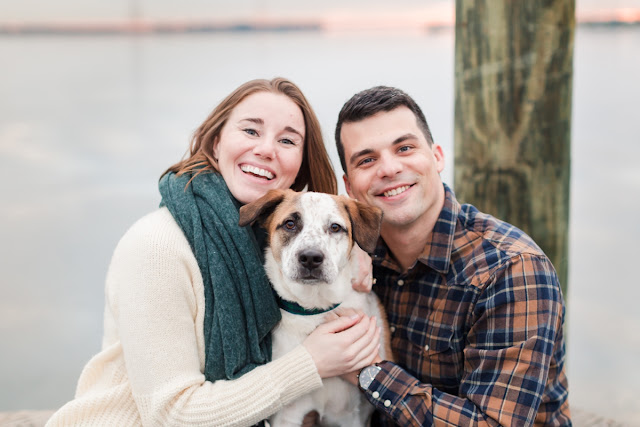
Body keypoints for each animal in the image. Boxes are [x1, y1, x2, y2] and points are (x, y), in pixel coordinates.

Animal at [239, 191, 392, 427]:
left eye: (335, 227)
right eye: (290, 224)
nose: (310, 257)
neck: (315, 309)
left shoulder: (350, 415)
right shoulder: (288, 417)